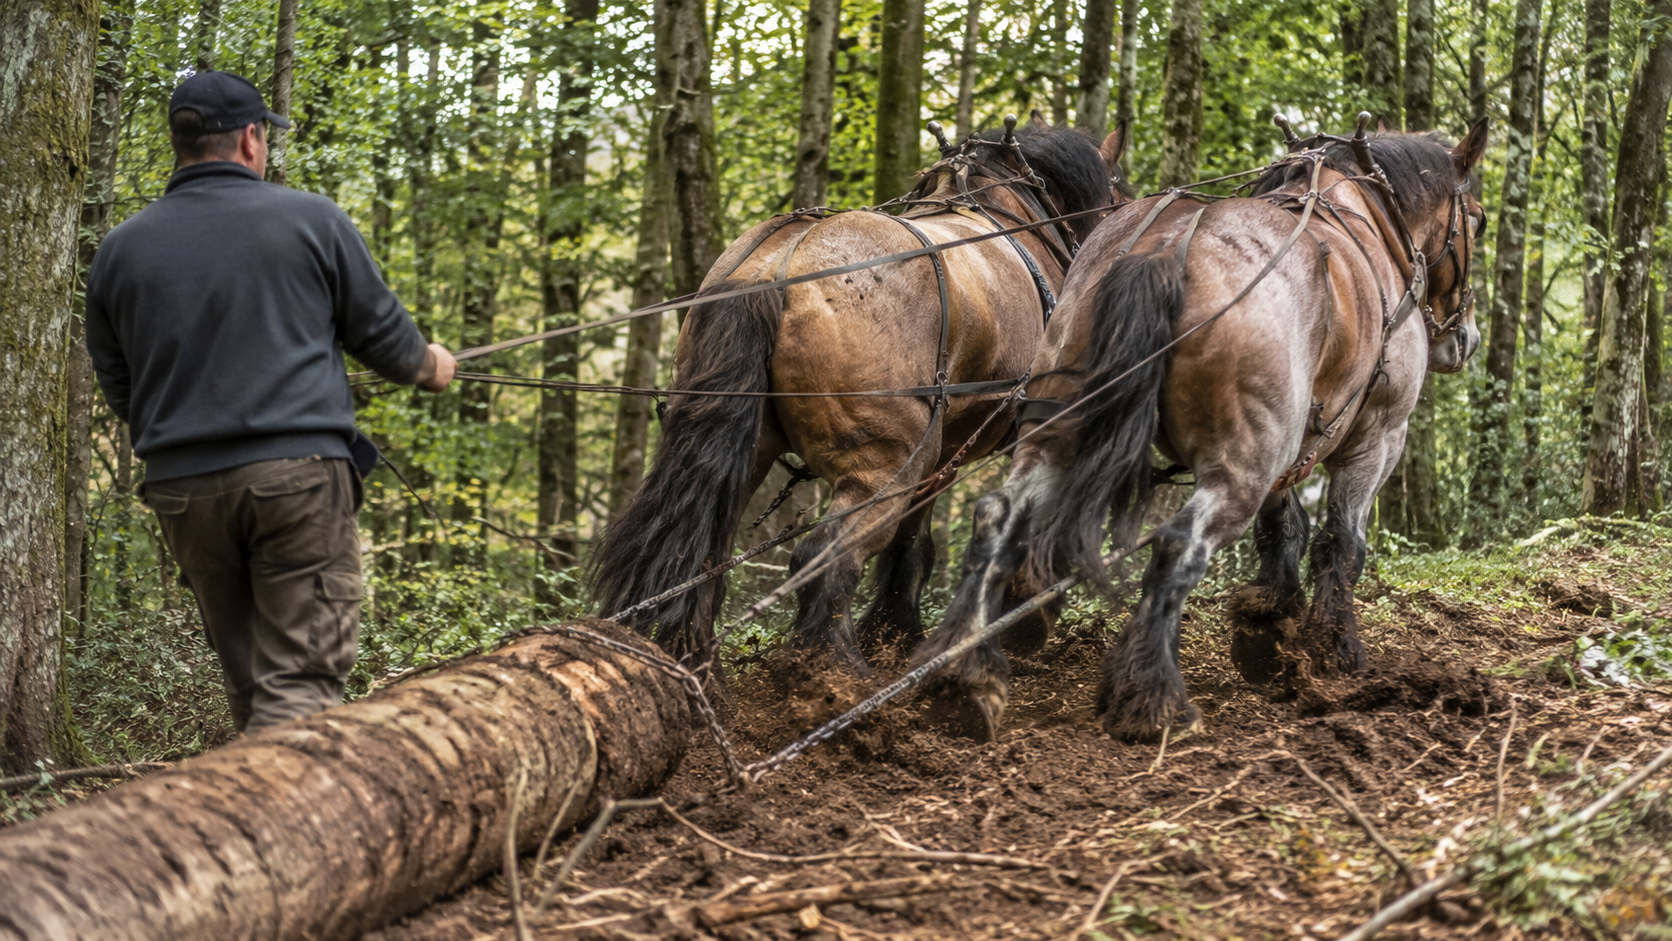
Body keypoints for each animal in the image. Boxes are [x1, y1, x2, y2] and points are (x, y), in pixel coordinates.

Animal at [590, 119, 1133, 672]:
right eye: (1119, 194)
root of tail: (771, 268)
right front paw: (1024, 618)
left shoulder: (946, 448)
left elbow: (914, 540)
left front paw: (896, 627)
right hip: (886, 461)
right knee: (825, 557)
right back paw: (834, 674)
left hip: (752, 450)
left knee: (705, 558)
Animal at [912, 118, 1488, 742]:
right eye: (1478, 218)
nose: (1465, 339)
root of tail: (1166, 248)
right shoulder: (1378, 437)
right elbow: (1342, 544)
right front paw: (1336, 652)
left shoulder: (1291, 445)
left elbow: (1284, 525)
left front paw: (1267, 623)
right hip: (1243, 465)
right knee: (1177, 544)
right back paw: (1151, 698)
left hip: (1059, 432)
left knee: (998, 515)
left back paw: (965, 678)